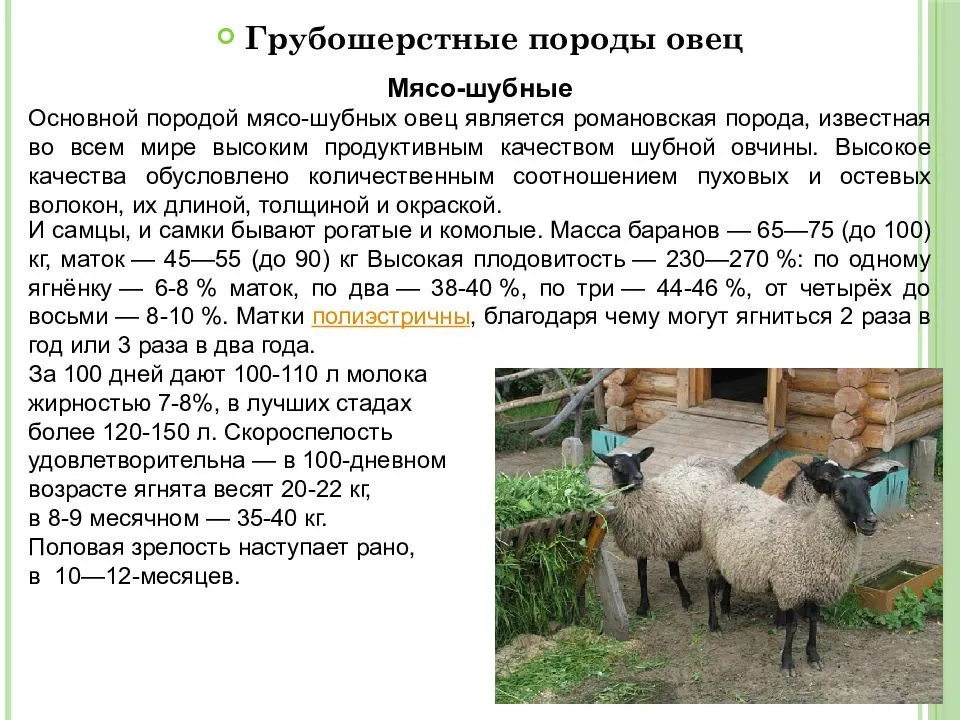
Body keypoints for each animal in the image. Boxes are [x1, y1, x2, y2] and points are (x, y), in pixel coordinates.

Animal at [595, 447, 738, 617]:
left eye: (639, 461)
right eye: (616, 464)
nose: (639, 478)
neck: (649, 499)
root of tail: (714, 459)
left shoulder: (671, 542)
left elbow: (674, 575)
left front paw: (686, 599)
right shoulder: (640, 544)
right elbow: (642, 576)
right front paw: (643, 606)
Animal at [700, 468, 892, 676]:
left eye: (868, 490)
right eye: (838, 494)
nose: (871, 521)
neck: (809, 535)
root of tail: (730, 488)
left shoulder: (817, 587)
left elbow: (814, 620)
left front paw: (813, 655)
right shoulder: (789, 588)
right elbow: (791, 627)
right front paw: (787, 662)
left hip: (727, 556)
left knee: (727, 579)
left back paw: (726, 608)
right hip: (710, 554)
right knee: (709, 588)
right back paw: (714, 624)